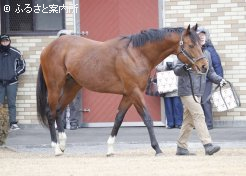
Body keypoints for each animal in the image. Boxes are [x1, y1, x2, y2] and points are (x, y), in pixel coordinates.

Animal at [35, 23, 207, 155]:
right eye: (191, 45)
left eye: (200, 44)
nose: (204, 66)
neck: (136, 54)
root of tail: (48, 48)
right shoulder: (135, 92)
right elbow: (147, 118)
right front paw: (157, 149)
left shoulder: (129, 94)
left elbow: (118, 118)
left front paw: (110, 149)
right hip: (55, 86)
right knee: (51, 113)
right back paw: (56, 148)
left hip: (72, 86)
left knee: (58, 110)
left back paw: (62, 145)